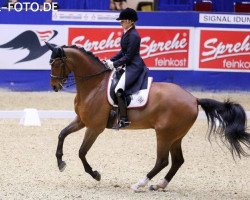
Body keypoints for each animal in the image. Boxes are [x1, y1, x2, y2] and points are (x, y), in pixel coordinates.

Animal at [45, 43, 250, 191]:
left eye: (56, 64)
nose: (54, 86)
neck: (95, 85)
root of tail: (194, 99)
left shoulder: (95, 127)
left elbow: (81, 152)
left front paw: (95, 174)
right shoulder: (81, 121)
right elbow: (62, 134)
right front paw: (60, 162)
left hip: (164, 134)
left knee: (162, 161)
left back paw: (139, 184)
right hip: (176, 136)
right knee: (177, 161)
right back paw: (158, 185)